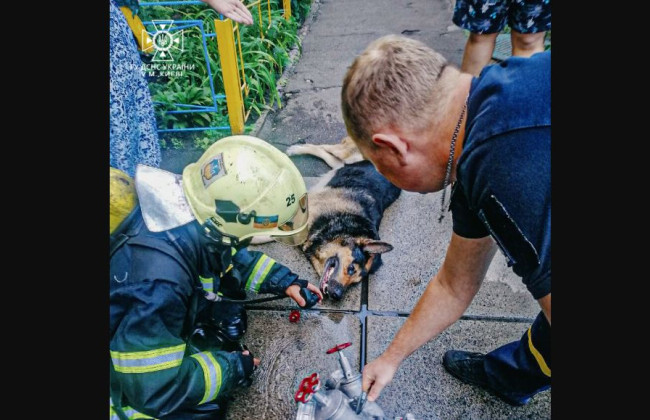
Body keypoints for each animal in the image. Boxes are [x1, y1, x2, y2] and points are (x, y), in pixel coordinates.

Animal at [284, 139, 400, 300]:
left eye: (355, 282)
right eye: (351, 268)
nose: (337, 295)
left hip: (343, 162)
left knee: (328, 156)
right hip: (345, 152)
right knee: (323, 147)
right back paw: (296, 149)